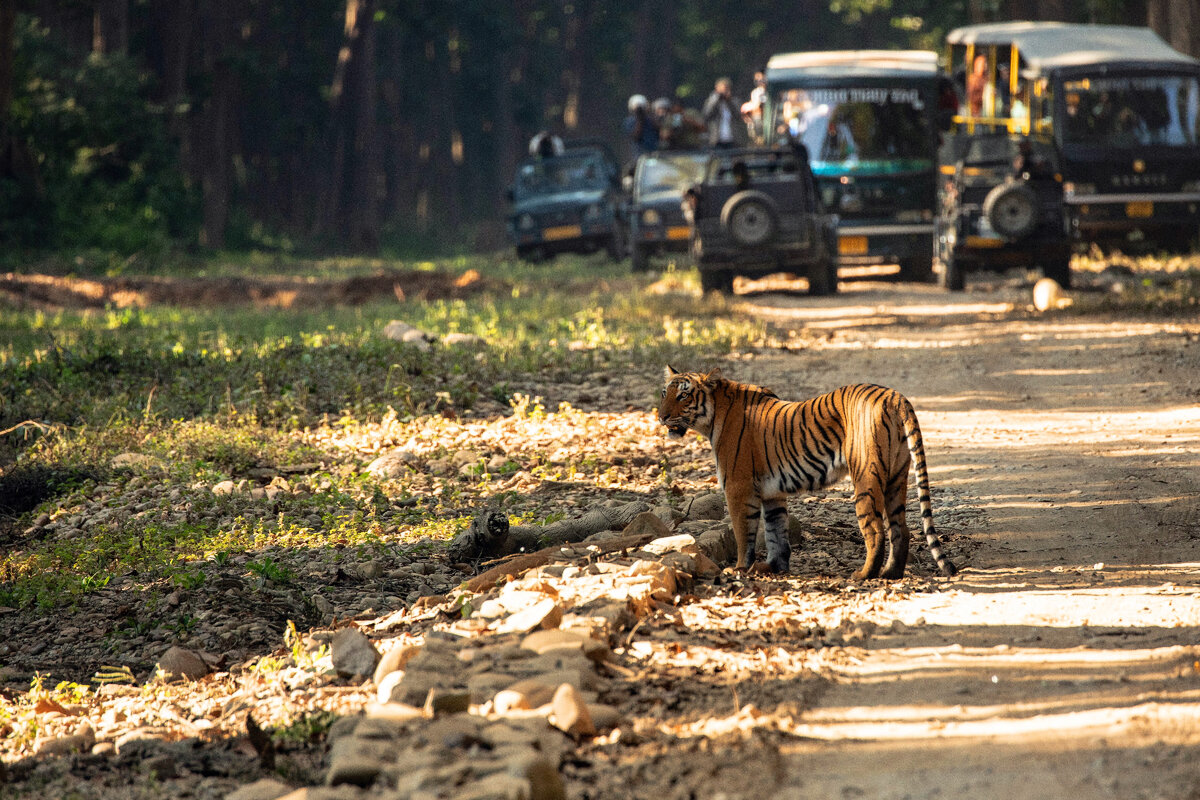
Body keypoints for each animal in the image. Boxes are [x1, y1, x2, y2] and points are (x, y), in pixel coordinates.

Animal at [657, 367, 955, 582]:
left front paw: (740, 569)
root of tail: (895, 396)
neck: (714, 416)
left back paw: (863, 575)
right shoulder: (773, 493)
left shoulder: (738, 488)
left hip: (866, 478)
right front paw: (773, 568)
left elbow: (744, 534)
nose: (661, 417)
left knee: (875, 530)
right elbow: (776, 532)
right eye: (664, 393)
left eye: (683, 395)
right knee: (900, 530)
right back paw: (891, 574)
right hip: (896, 477)